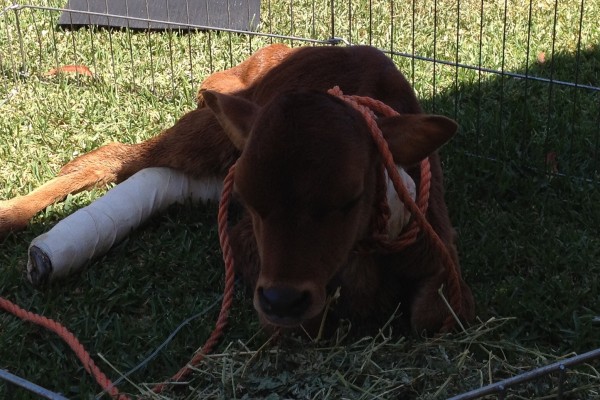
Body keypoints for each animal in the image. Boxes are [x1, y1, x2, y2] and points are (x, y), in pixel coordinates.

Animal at [2, 43, 476, 336]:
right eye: (250, 200)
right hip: (208, 129)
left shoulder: (441, 246)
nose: (282, 299)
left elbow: (438, 314)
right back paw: (10, 214)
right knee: (112, 155)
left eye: (350, 197)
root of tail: (272, 51)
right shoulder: (249, 245)